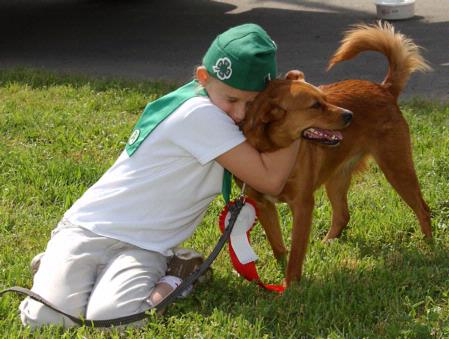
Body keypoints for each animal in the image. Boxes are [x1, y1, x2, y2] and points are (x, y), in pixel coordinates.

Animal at [238, 21, 430, 286]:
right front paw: (279, 274)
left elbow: (296, 253)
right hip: (337, 179)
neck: (272, 151)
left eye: (325, 98)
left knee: (423, 209)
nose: (350, 115)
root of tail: (384, 89)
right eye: (315, 105)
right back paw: (328, 242)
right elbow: (279, 247)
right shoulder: (263, 204)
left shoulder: (303, 204)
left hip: (397, 169)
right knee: (342, 215)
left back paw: (429, 248)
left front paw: (290, 285)